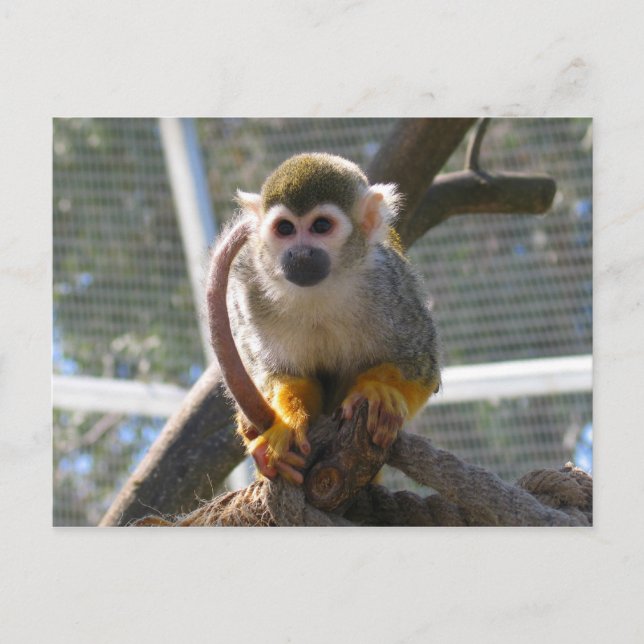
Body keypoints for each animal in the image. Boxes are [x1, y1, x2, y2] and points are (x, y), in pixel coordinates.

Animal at [208, 152, 440, 485]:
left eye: (320, 226)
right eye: (285, 229)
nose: (300, 254)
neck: (321, 290)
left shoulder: (391, 286)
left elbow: (423, 370)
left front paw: (378, 391)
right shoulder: (252, 291)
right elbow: (286, 374)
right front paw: (287, 420)